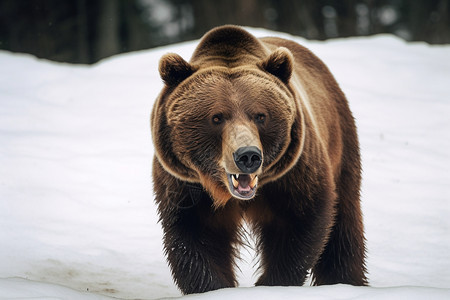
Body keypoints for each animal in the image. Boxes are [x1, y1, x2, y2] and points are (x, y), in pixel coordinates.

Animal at [152, 25, 370, 292]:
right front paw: (214, 287)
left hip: (340, 140)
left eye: (260, 115)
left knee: (344, 225)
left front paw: (273, 284)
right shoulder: (185, 185)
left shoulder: (294, 174)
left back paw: (346, 281)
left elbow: (300, 224)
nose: (248, 155)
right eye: (216, 117)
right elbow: (194, 237)